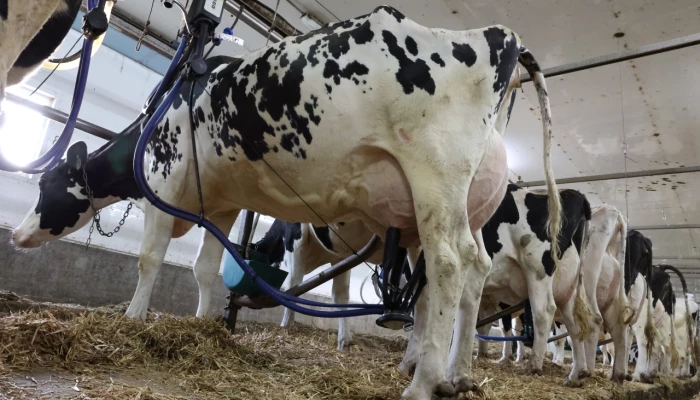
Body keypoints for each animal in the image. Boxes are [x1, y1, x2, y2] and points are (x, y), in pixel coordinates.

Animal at [13, 7, 563, 398]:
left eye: (48, 184)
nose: (17, 235)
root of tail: (497, 35)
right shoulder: (218, 205)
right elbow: (205, 270)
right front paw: (203, 323)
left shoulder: (164, 186)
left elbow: (150, 259)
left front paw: (131, 319)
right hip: (460, 203)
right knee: (468, 274)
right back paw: (459, 375)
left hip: (434, 176)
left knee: (451, 265)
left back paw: (424, 382)